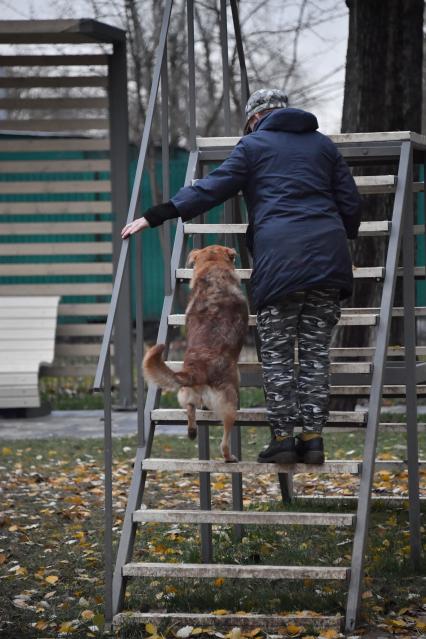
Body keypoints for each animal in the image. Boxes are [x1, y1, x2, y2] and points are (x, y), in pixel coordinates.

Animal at [144, 245, 250, 460]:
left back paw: (192, 430)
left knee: (190, 409)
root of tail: (196, 370)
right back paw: (229, 457)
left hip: (187, 394)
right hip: (230, 402)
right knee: (224, 440)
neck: (212, 271)